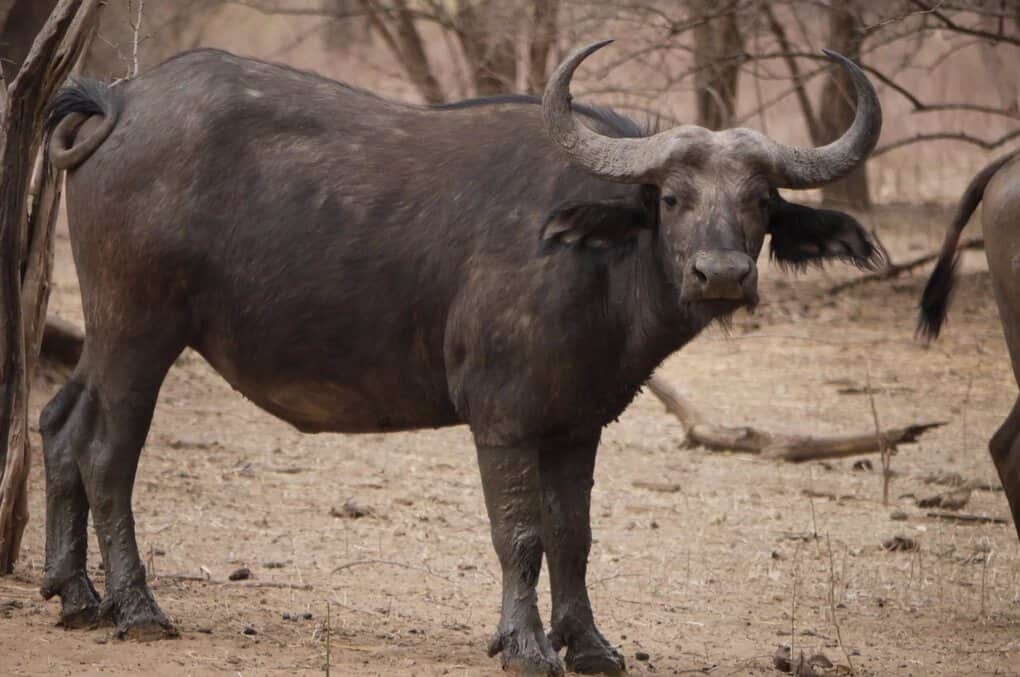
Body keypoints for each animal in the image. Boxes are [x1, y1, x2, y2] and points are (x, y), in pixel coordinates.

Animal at [43, 41, 881, 672]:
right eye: (671, 198)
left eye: (760, 202)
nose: (723, 275)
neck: (593, 261)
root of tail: (121, 101)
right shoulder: (502, 422)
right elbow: (521, 534)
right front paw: (527, 644)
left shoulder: (577, 427)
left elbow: (574, 536)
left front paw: (589, 643)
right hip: (138, 333)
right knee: (107, 452)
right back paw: (137, 606)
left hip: (105, 338)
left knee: (58, 424)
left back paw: (74, 592)